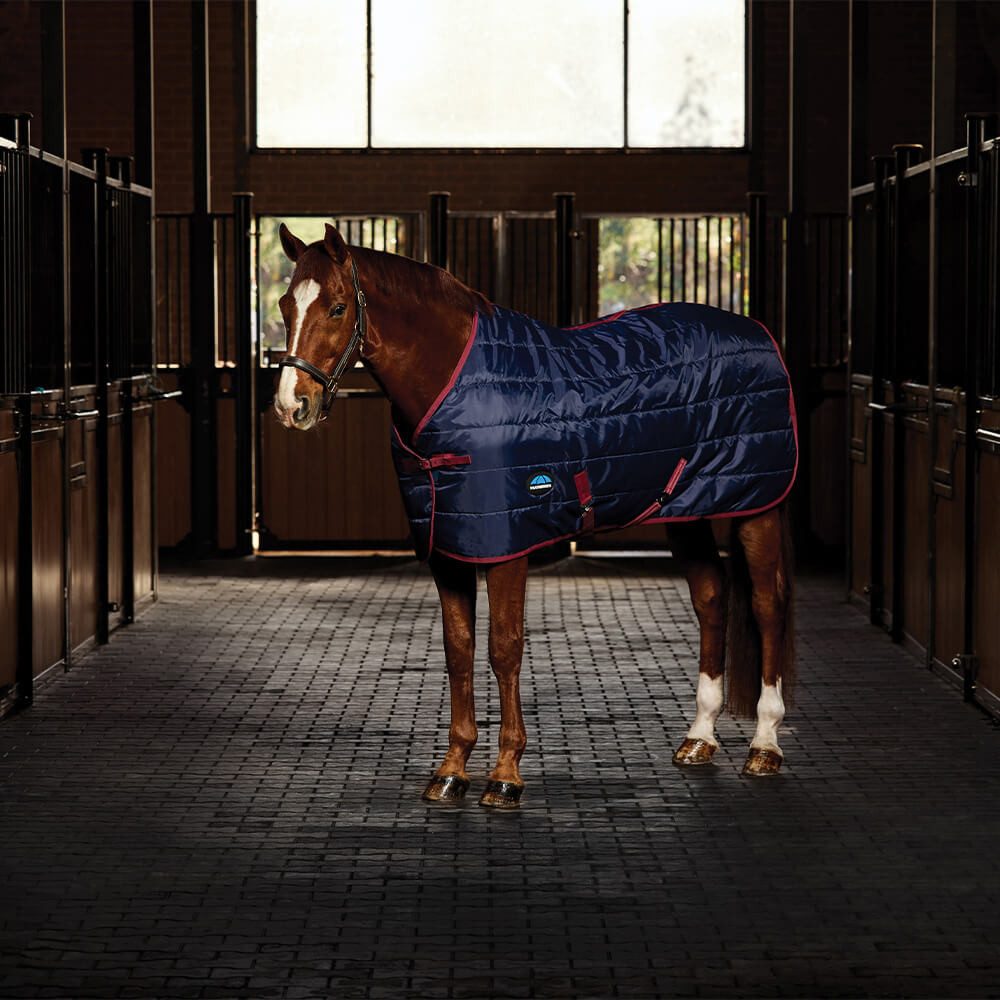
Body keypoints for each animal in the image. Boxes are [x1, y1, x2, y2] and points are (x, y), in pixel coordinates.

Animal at [273, 223, 796, 809]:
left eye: (338, 307)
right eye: (285, 305)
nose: (292, 406)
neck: (455, 386)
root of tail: (758, 332)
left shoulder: (507, 545)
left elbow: (503, 649)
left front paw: (505, 775)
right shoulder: (449, 548)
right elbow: (458, 650)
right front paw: (451, 769)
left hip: (758, 505)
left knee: (767, 605)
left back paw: (765, 745)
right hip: (688, 508)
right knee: (711, 597)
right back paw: (699, 738)